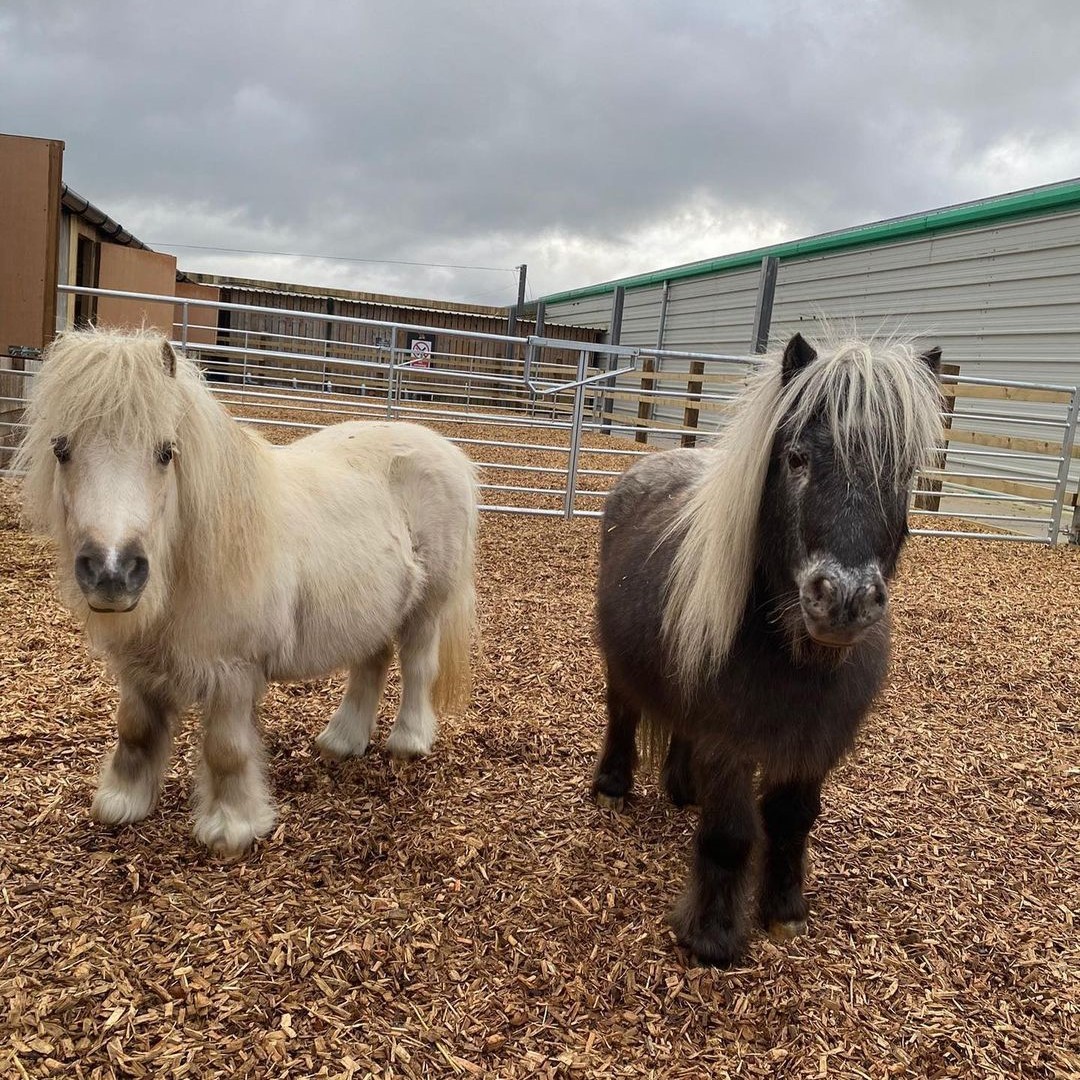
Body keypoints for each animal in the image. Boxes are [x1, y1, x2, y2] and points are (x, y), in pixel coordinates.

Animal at [15, 327, 478, 858]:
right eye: (61, 449)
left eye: (165, 452)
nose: (113, 572)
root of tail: (443, 448)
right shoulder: (138, 667)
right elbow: (134, 729)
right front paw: (123, 802)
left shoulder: (232, 673)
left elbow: (227, 749)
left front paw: (231, 828)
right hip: (373, 608)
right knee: (371, 664)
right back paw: (341, 741)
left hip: (427, 608)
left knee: (419, 666)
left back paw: (409, 742)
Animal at [590, 331, 942, 966]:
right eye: (797, 459)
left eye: (902, 472)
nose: (844, 598)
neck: (791, 655)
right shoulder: (730, 742)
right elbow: (730, 836)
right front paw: (712, 937)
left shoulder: (811, 741)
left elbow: (792, 819)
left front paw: (783, 913)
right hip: (621, 671)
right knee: (623, 713)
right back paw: (612, 788)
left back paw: (683, 790)